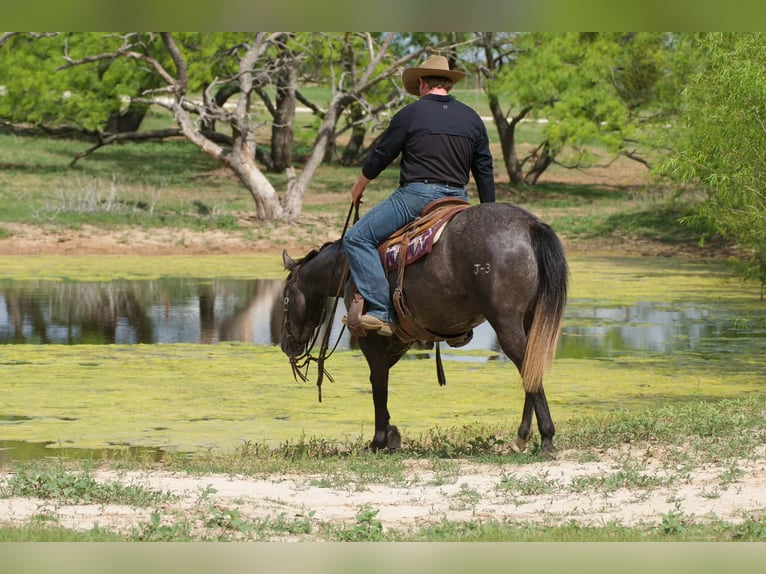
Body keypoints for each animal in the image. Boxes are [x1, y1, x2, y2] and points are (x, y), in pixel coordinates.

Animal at [280, 202, 568, 458]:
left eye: (285, 297)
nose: (285, 345)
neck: (347, 269)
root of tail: (530, 225)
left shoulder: (371, 340)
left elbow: (378, 384)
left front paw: (378, 441)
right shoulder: (398, 340)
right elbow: (381, 380)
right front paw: (392, 434)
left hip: (505, 322)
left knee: (526, 365)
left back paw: (546, 438)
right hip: (529, 320)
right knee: (531, 365)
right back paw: (523, 436)